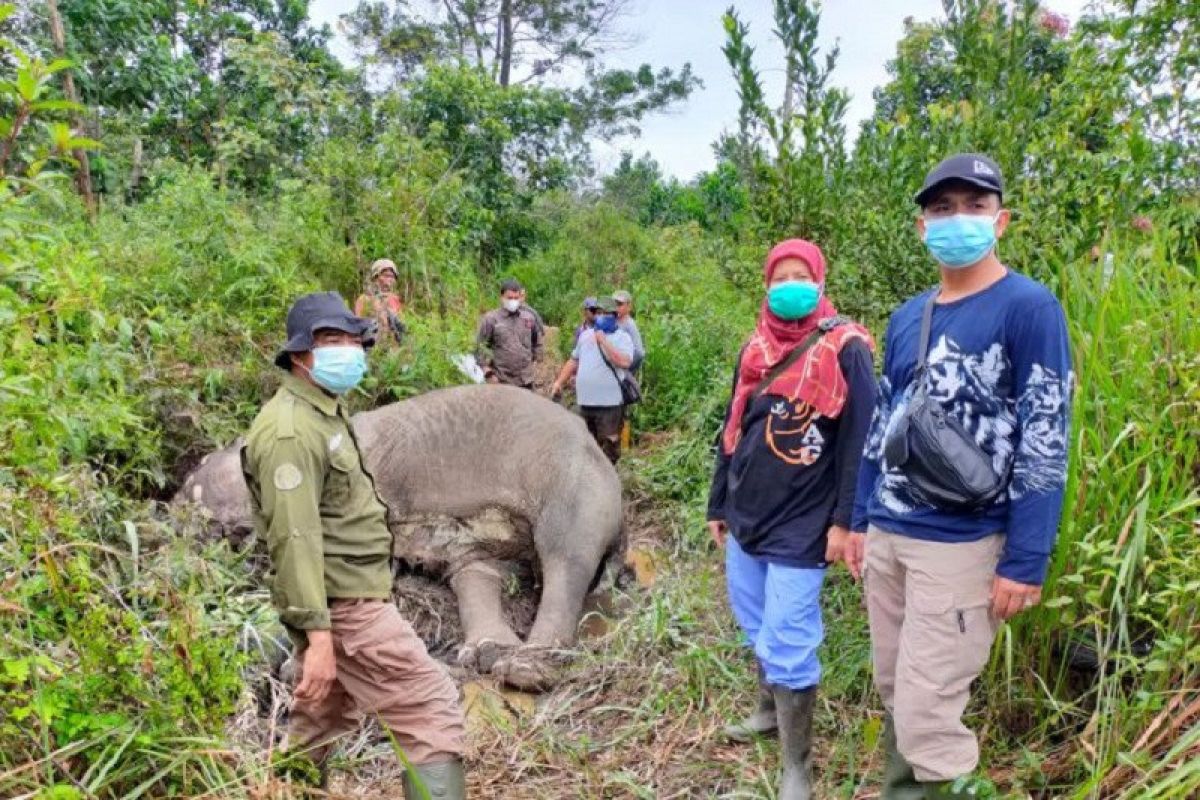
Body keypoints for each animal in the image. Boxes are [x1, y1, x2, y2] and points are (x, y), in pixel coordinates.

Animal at [180, 383, 628, 690]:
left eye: (205, 464)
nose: (179, 496)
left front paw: (294, 668)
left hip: (572, 483)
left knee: (565, 558)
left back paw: (524, 670)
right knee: (476, 570)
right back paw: (487, 653)